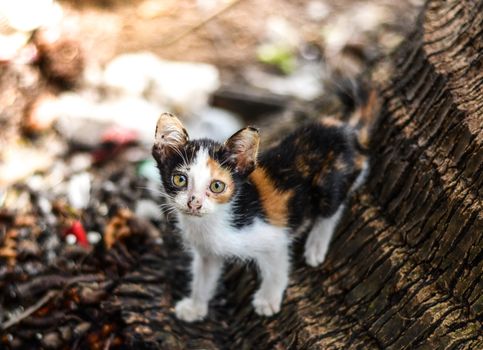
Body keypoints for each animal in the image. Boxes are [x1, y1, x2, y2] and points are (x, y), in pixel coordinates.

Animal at [151, 80, 378, 322]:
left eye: (216, 186)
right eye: (179, 179)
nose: (194, 203)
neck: (214, 221)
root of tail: (349, 131)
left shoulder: (273, 235)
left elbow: (277, 267)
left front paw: (268, 299)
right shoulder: (208, 252)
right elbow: (205, 276)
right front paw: (195, 307)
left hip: (329, 180)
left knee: (334, 205)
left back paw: (316, 245)